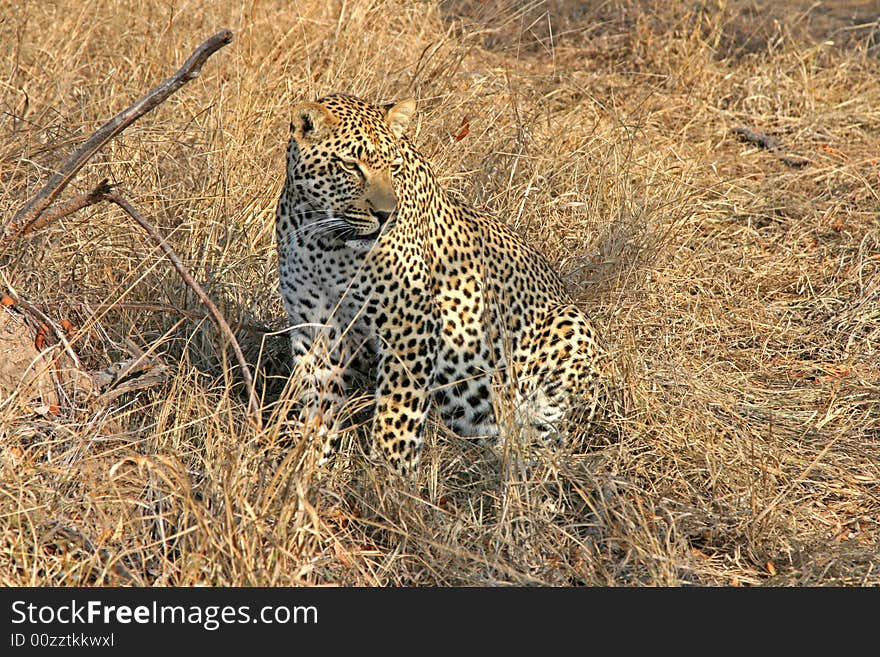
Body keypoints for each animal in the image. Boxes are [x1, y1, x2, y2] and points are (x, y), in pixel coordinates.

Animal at [276, 92, 604, 474]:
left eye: (395, 167)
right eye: (350, 166)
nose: (386, 215)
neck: (326, 243)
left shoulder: (410, 325)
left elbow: (397, 413)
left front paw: (389, 477)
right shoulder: (316, 331)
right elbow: (316, 407)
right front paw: (303, 467)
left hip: (569, 326)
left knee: (546, 442)